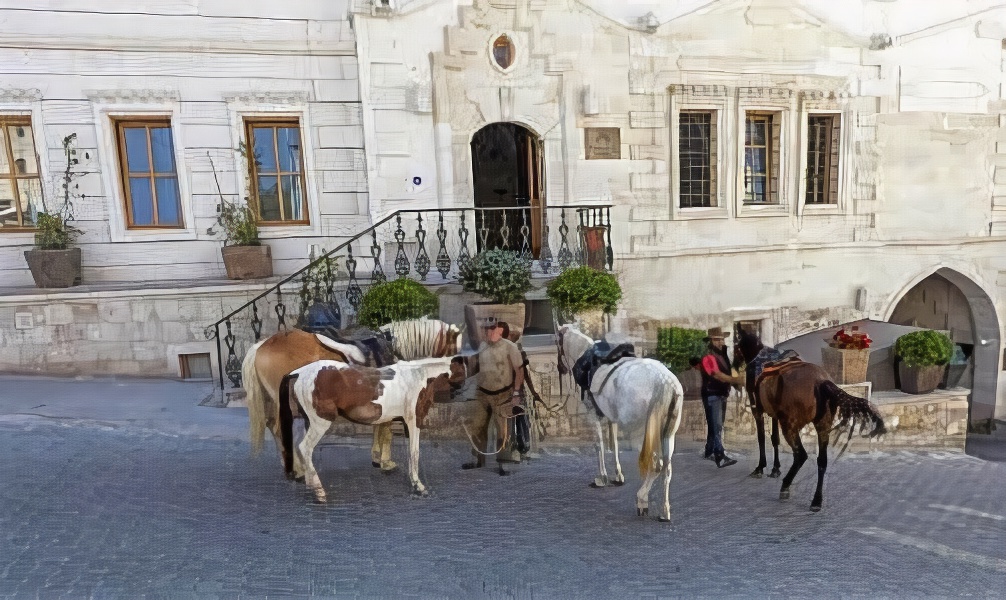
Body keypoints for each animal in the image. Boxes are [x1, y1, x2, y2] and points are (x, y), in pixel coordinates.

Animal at [275, 354, 462, 503]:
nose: (460, 394)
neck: (419, 375)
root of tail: (299, 372)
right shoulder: (413, 420)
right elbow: (414, 452)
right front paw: (418, 486)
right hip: (320, 423)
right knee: (305, 447)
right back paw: (320, 492)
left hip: (304, 420)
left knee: (299, 447)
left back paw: (309, 484)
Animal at [555, 320, 688, 523]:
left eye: (557, 342)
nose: (560, 368)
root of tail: (665, 382)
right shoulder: (613, 418)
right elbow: (614, 445)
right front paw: (618, 476)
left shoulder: (593, 414)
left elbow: (599, 445)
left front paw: (602, 478)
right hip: (667, 433)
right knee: (666, 468)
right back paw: (664, 511)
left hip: (645, 433)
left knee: (655, 465)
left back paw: (642, 500)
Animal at [756, 358, 885, 513]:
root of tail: (820, 381)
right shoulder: (773, 414)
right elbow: (774, 438)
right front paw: (775, 469)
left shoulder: (758, 410)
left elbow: (762, 437)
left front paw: (760, 468)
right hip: (823, 426)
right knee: (822, 461)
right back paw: (816, 500)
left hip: (789, 426)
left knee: (801, 455)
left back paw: (786, 486)